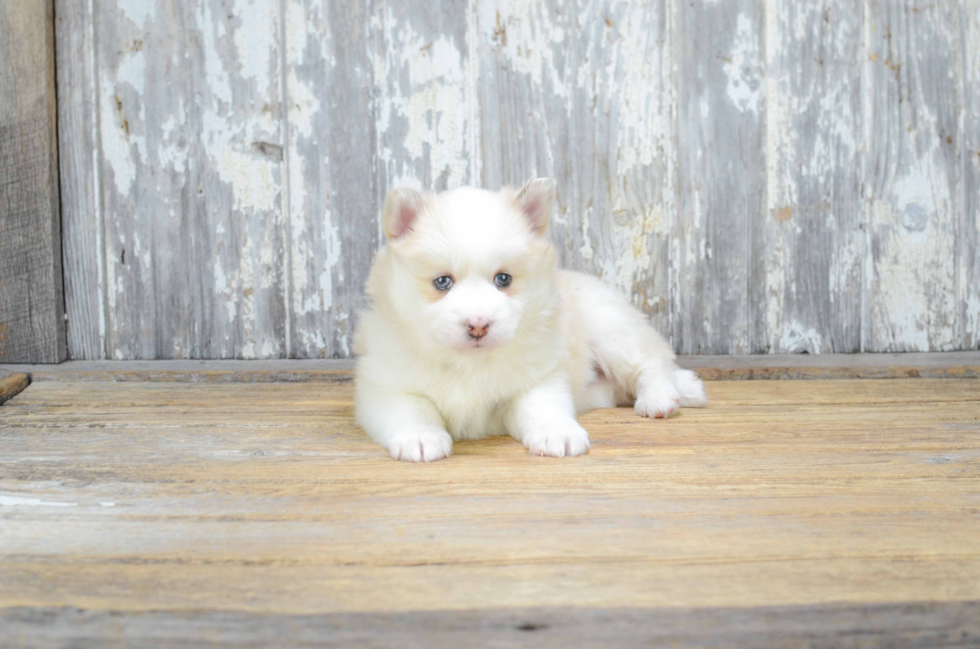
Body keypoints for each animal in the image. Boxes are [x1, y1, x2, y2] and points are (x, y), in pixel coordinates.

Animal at [356, 177, 708, 460]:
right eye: (442, 282)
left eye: (503, 279)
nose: (478, 325)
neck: (469, 363)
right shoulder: (386, 387)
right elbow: (412, 408)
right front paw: (420, 437)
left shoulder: (539, 380)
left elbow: (543, 407)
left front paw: (558, 433)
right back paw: (688, 387)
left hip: (611, 332)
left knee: (650, 361)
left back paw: (662, 397)